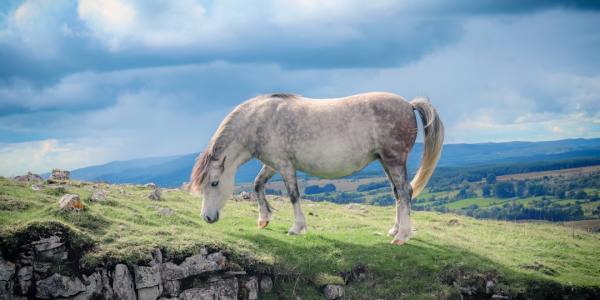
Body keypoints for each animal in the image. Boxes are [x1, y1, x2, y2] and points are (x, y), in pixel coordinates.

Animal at [190, 92, 442, 245]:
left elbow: (293, 196)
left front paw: (297, 227)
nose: (207, 217)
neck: (260, 121)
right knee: (399, 194)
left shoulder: (285, 165)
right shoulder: (272, 164)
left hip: (394, 160)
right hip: (385, 161)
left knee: (404, 193)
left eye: (214, 183)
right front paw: (263, 219)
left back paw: (402, 236)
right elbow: (257, 185)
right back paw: (395, 230)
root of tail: (409, 105)